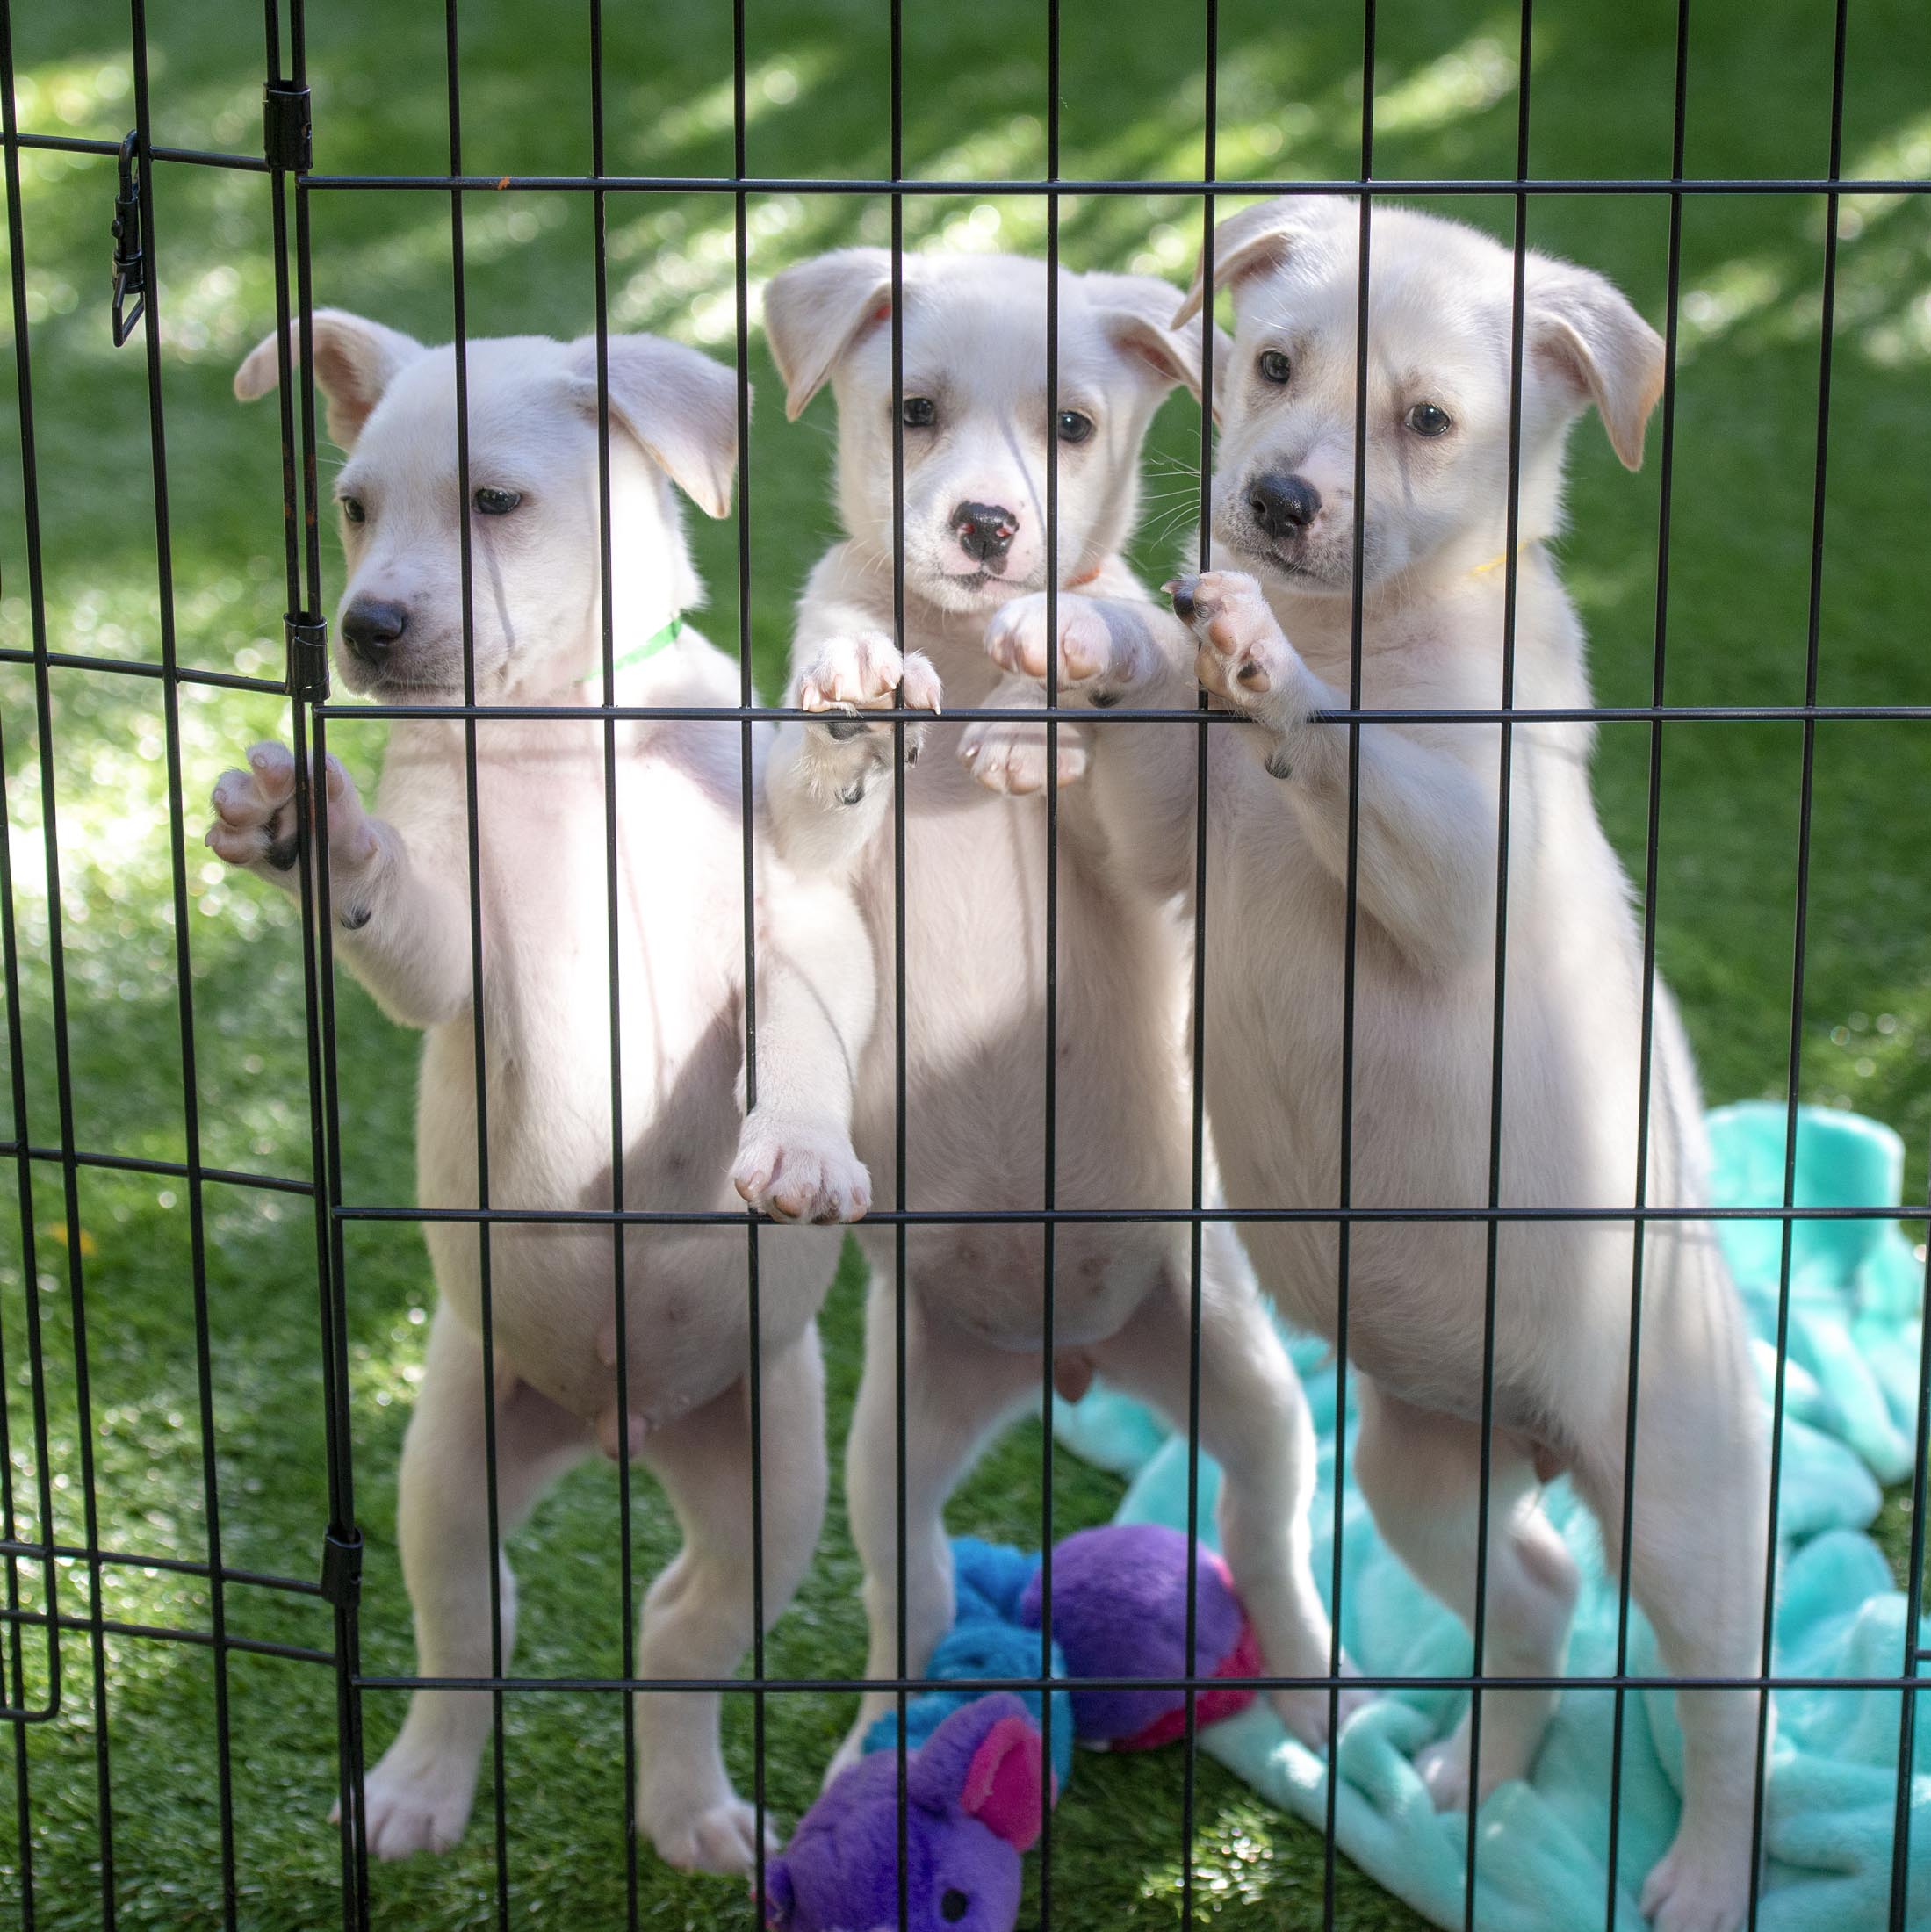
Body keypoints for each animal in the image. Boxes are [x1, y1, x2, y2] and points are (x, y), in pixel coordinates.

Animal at [207, 312, 874, 1874]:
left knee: (682, 1629)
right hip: (454, 1445)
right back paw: (414, 1794)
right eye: (352, 509)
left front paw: (801, 1153)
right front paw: (321, 840)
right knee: (472, 1626)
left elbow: (808, 1032)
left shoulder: (796, 927)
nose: (368, 629)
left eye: (495, 503)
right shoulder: (461, 955)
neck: (568, 732)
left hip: (769, 1473)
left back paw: (691, 1813)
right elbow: (407, 921)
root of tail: (617, 1428)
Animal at [757, 247, 1353, 1780]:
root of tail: (1060, 1363)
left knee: (1268, 1537)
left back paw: (1322, 1698)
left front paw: (1069, 665)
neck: (964, 652)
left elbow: (1118, 681)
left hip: (1237, 1371)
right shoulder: (814, 882)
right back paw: (880, 1742)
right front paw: (851, 682)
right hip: (894, 1437)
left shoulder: (1148, 861)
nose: (985, 524)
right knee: (905, 1594)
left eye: (1071, 427)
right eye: (911, 410)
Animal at [972, 199, 1771, 1932]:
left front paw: (1263, 660)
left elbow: (1353, 760)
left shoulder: (1462, 863)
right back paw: (1472, 1776)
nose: (1275, 503)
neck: (1369, 620)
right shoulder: (1172, 840)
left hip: (1674, 1489)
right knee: (1537, 1593)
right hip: (1421, 1470)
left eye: (1426, 422)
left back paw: (1699, 1874)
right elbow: (1147, 704)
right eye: (1270, 366)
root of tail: (1537, 1434)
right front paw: (1089, 626)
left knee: (1719, 1690)